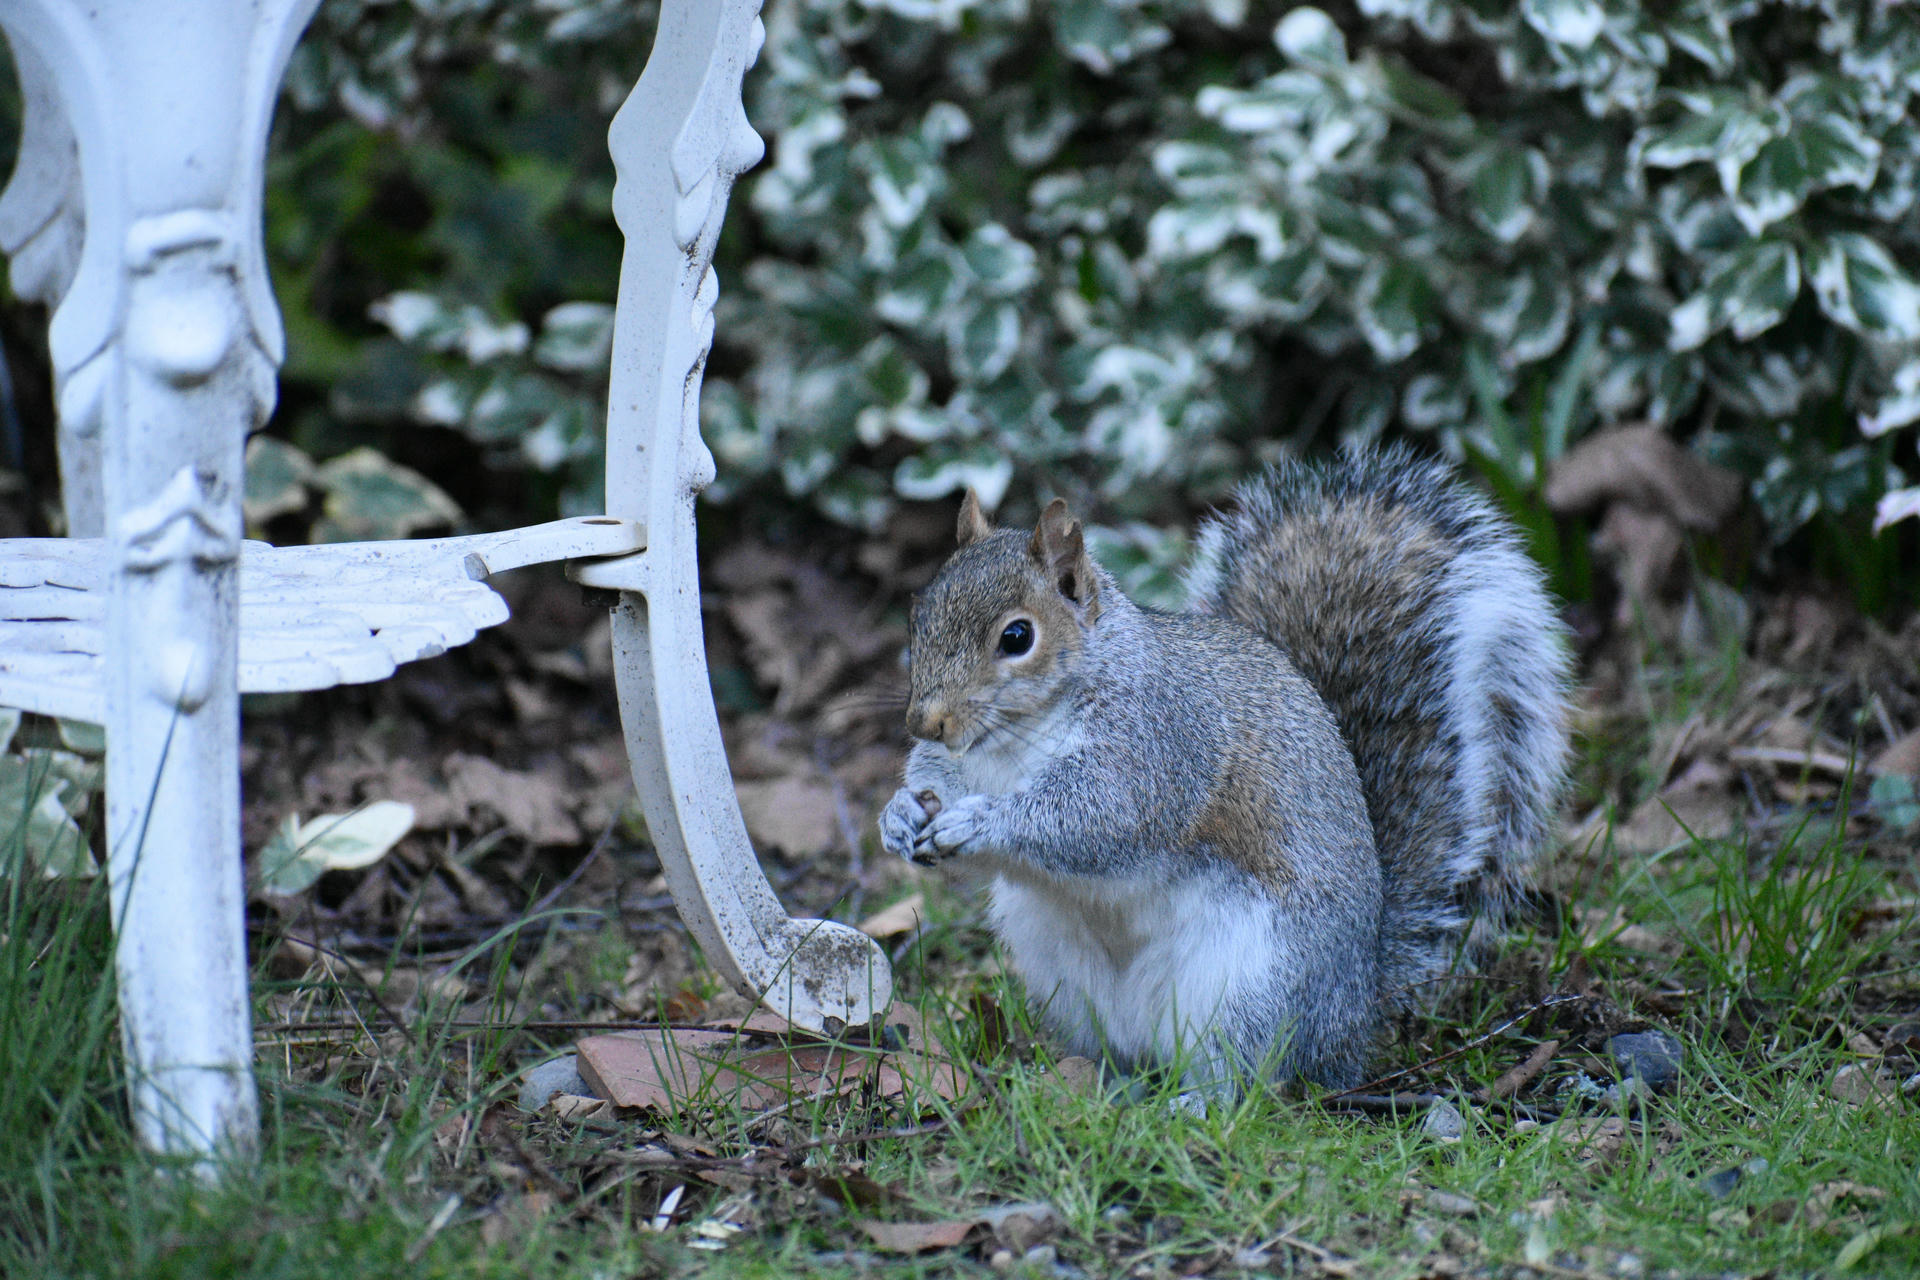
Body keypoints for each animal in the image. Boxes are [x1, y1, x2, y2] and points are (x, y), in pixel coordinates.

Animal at [878, 446, 1572, 1094]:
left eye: (1017, 637)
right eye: (919, 615)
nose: (926, 723)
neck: (1015, 740)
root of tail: (1353, 1018)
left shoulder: (1160, 744)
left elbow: (1097, 822)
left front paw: (981, 822)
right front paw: (899, 816)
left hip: (1252, 987)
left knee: (1250, 1079)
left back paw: (1193, 1102)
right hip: (1063, 975)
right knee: (1121, 1050)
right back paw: (1106, 1084)